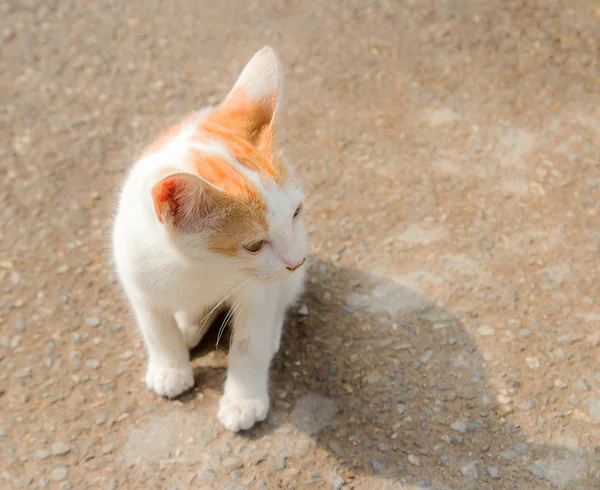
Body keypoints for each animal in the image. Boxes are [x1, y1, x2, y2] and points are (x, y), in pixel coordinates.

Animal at [112, 48, 308, 432]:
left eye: (296, 211)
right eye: (253, 245)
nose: (296, 261)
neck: (201, 268)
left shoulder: (259, 292)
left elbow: (249, 342)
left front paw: (243, 399)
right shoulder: (136, 276)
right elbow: (156, 327)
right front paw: (170, 367)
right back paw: (189, 325)